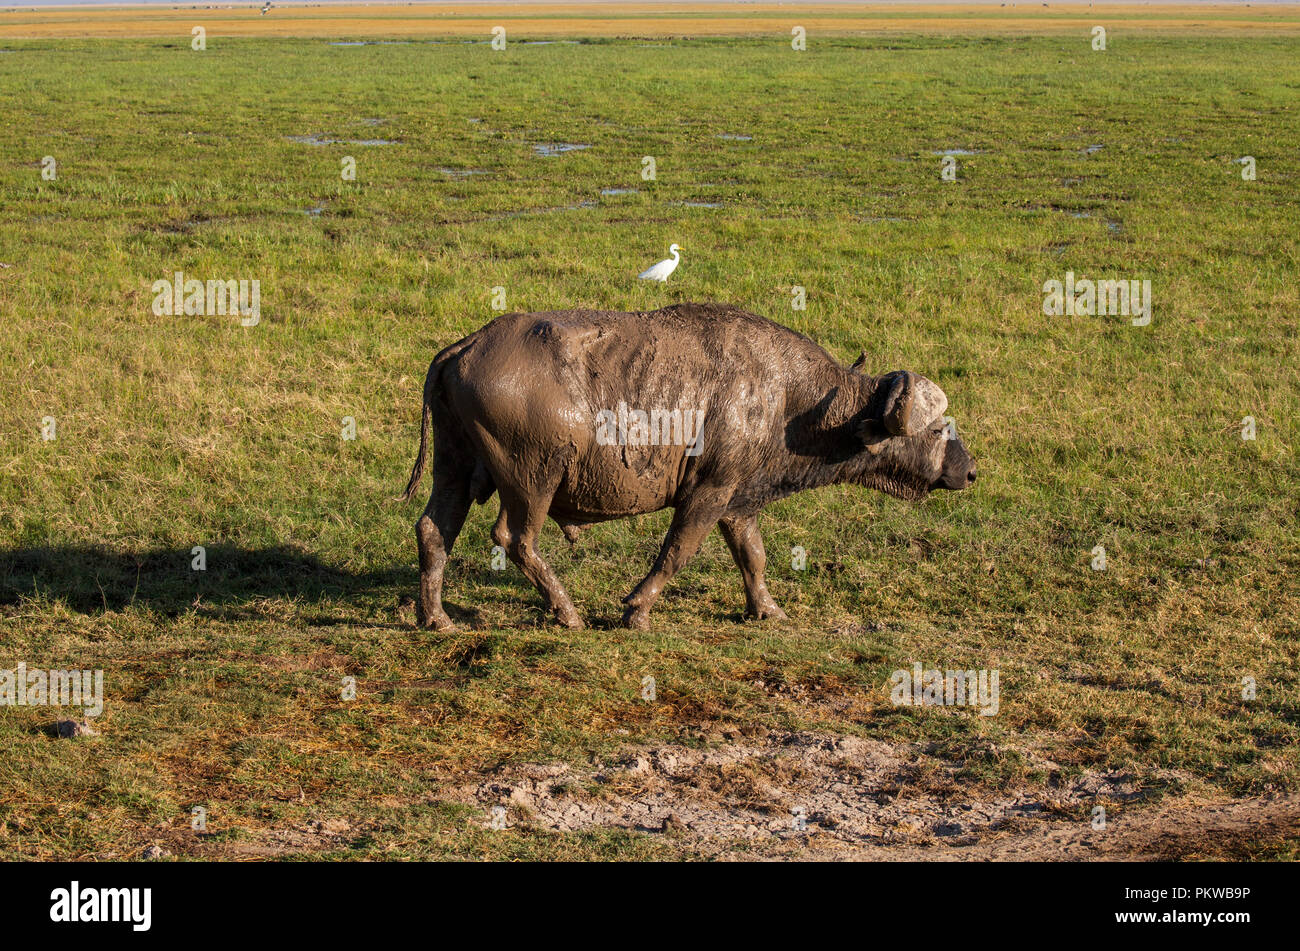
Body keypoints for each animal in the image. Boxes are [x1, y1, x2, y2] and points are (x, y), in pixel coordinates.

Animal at [400, 304, 972, 631]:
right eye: (936, 429)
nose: (968, 472)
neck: (791, 400)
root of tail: (467, 345)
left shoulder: (737, 501)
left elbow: (753, 557)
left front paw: (767, 610)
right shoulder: (706, 495)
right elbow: (676, 554)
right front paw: (636, 610)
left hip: (455, 467)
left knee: (433, 530)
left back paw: (436, 618)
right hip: (533, 480)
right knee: (515, 539)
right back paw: (568, 613)